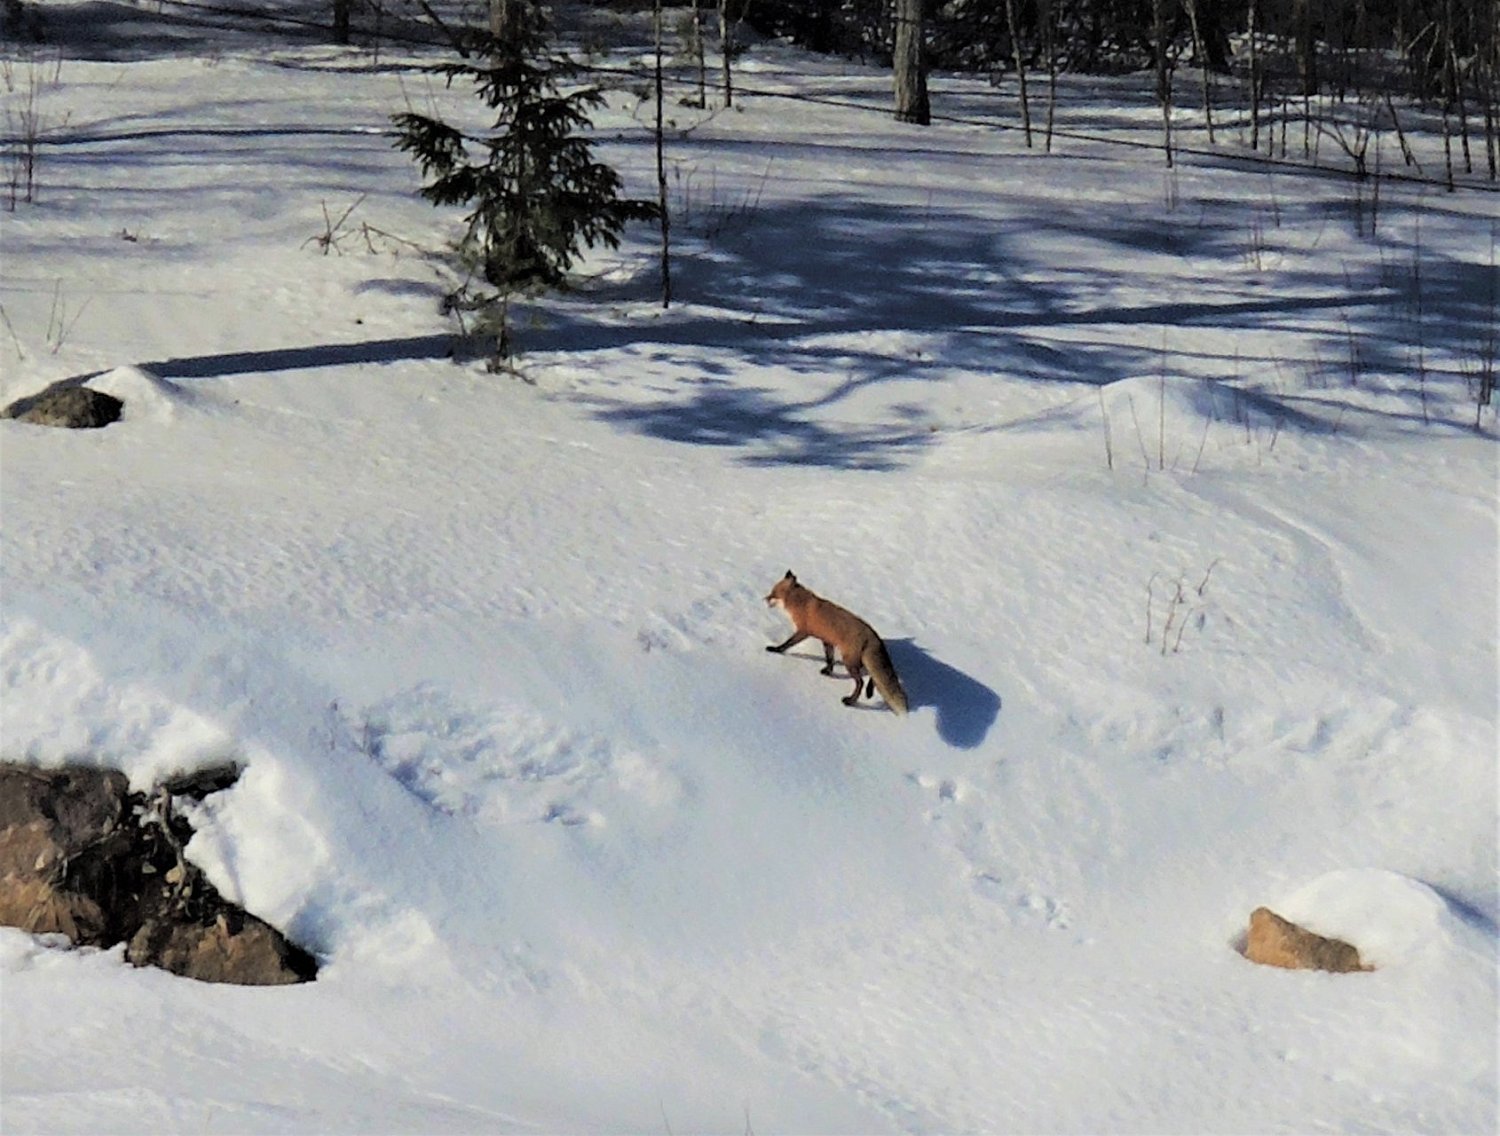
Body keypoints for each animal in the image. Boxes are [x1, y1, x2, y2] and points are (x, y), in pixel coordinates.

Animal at [764, 571, 909, 715]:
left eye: (773, 593)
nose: (764, 599)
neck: (802, 604)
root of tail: (874, 636)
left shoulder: (803, 632)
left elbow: (787, 644)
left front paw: (775, 649)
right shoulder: (827, 640)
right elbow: (830, 658)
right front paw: (828, 671)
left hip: (849, 662)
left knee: (861, 682)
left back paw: (851, 701)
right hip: (857, 661)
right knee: (873, 677)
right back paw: (869, 692)